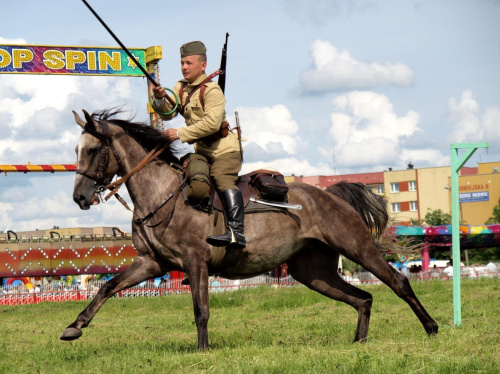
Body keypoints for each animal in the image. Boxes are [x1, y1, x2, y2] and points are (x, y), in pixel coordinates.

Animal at [61, 109, 438, 350]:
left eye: (92, 150)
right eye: (76, 150)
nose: (79, 197)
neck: (162, 194)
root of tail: (330, 194)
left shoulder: (196, 263)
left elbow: (200, 311)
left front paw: (203, 350)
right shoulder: (153, 263)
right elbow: (108, 287)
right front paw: (74, 327)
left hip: (358, 248)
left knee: (398, 282)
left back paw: (431, 327)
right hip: (312, 272)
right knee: (363, 298)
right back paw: (359, 342)